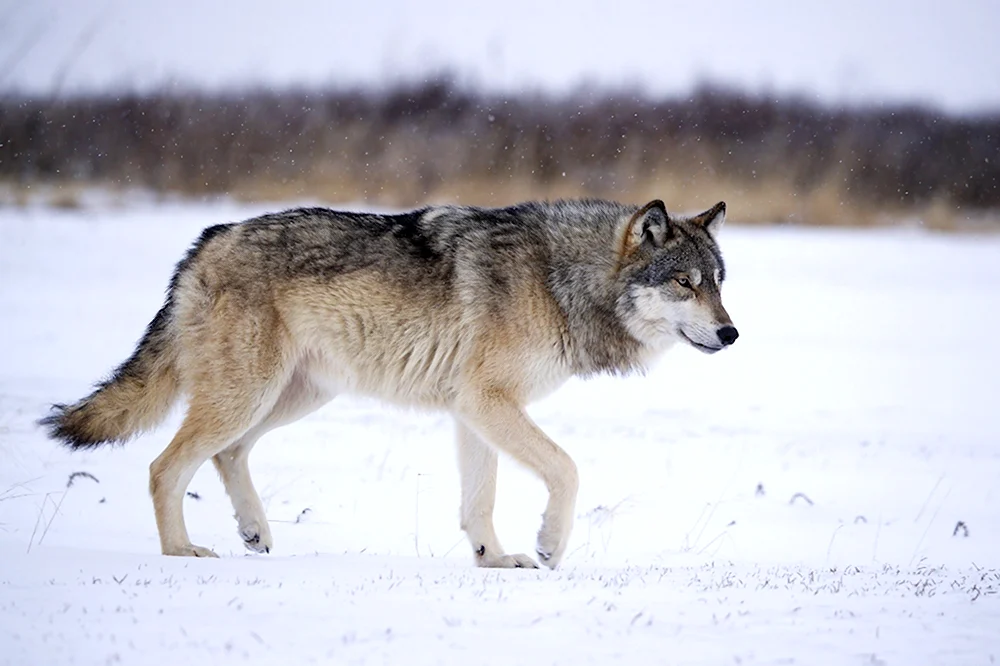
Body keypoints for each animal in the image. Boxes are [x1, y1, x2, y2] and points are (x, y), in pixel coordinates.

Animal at [40, 198, 737, 568]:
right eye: (684, 283)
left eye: (718, 281)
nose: (732, 334)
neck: (562, 279)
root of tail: (207, 239)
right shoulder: (488, 402)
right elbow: (566, 469)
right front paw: (546, 544)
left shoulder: (473, 411)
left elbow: (479, 503)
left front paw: (495, 561)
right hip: (250, 394)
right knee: (165, 466)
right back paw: (181, 552)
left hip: (292, 396)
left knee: (227, 454)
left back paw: (254, 533)